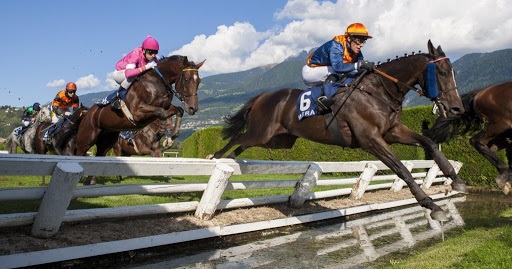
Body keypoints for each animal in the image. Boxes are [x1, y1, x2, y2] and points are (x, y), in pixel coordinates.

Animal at [75, 55, 205, 158]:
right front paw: (162, 131)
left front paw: (169, 139)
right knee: (79, 152)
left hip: (107, 140)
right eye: (187, 80)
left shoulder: (167, 106)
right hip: (86, 139)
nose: (193, 108)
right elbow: (161, 112)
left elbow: (178, 110)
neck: (155, 82)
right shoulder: (137, 113)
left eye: (199, 81)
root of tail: (88, 113)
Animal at [211, 39, 468, 220]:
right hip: (262, 132)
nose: (457, 108)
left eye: (455, 72)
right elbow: (401, 168)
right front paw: (430, 204)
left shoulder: (392, 132)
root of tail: (263, 96)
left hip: (278, 140)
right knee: (239, 136)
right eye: (442, 72)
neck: (379, 91)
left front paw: (455, 179)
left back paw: (226, 160)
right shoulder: (370, 139)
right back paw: (215, 157)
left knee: (242, 144)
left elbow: (430, 143)